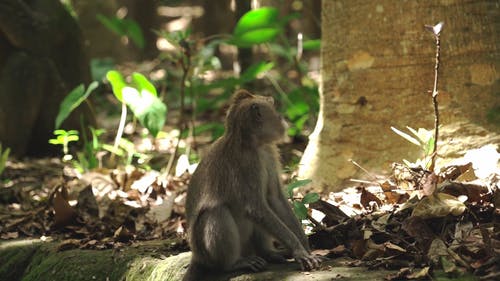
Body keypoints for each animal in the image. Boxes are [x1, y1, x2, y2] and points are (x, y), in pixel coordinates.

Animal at [183, 90, 320, 280]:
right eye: (274, 109)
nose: (282, 118)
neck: (252, 143)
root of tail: (196, 257)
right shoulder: (247, 163)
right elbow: (255, 208)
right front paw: (298, 250)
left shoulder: (268, 153)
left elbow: (274, 199)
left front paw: (305, 247)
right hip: (206, 252)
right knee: (216, 213)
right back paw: (232, 264)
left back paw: (267, 253)